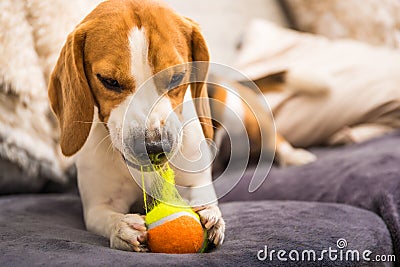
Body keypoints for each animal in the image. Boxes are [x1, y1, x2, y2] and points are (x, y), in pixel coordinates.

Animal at [48, 0, 223, 253]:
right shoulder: (98, 206)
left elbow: (203, 195)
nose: (154, 148)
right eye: (109, 81)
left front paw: (211, 215)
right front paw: (123, 228)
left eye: (176, 77)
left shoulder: (196, 181)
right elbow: (107, 217)